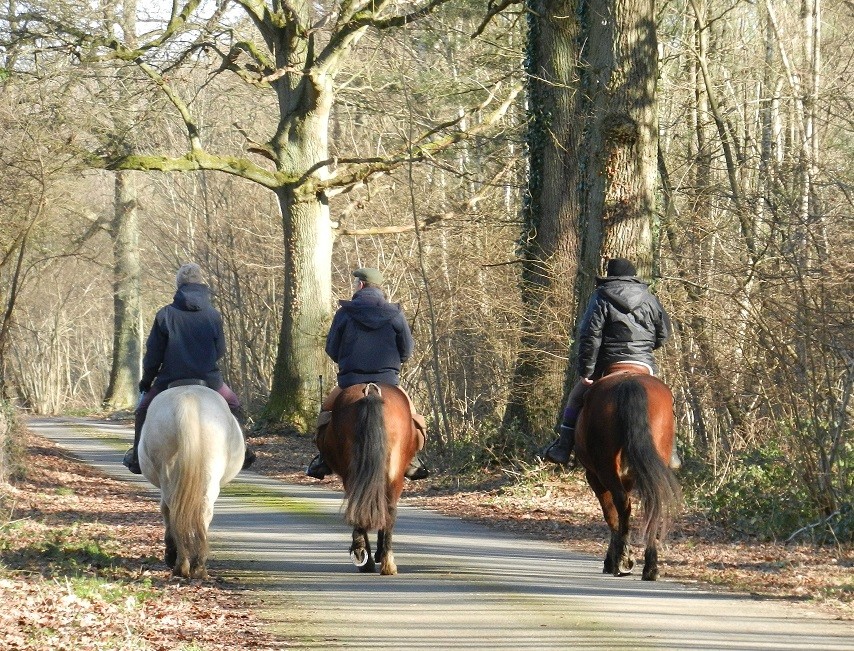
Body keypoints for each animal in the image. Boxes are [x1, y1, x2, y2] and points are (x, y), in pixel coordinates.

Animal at [137, 384, 244, 580]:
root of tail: (188, 399)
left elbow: (165, 511)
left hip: (168, 473)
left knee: (175, 509)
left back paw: (181, 563)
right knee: (203, 511)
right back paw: (197, 565)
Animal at [580, 364, 684, 584]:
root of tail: (630, 383)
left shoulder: (594, 476)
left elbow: (611, 515)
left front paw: (612, 560)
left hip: (605, 468)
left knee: (621, 505)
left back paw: (623, 560)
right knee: (652, 506)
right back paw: (651, 567)